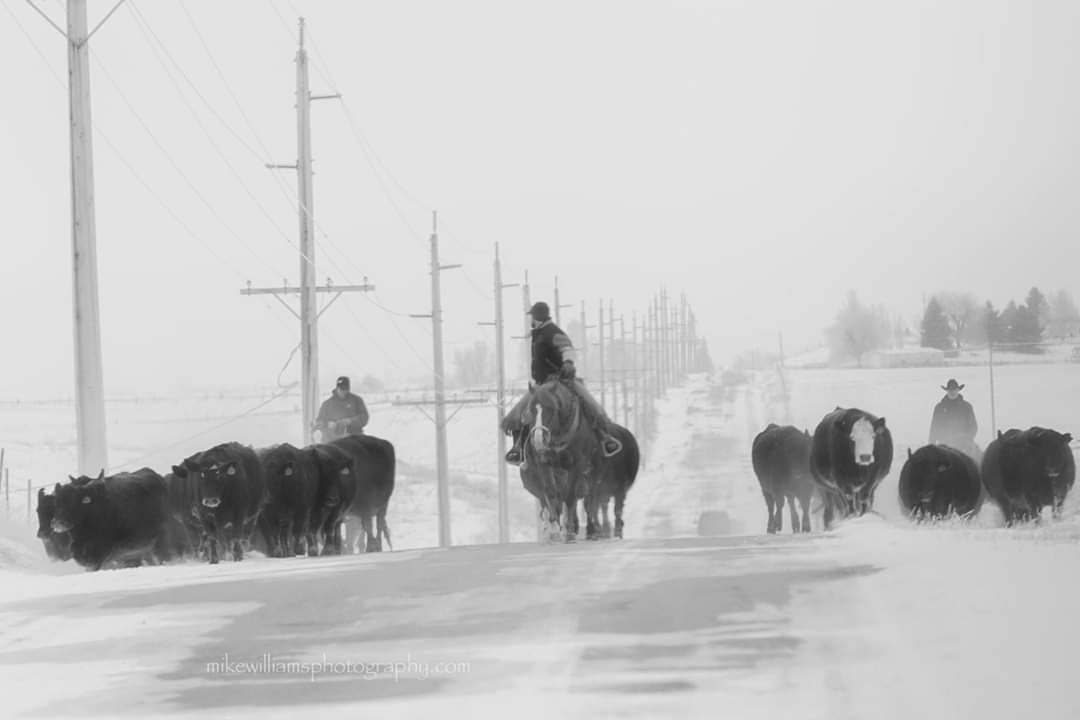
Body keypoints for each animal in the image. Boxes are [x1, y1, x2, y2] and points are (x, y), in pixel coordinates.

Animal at [520, 379, 600, 542]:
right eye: (530, 409)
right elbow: (551, 493)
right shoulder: (543, 463)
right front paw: (554, 530)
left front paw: (569, 531)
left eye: (551, 409)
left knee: (585, 499)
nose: (538, 439)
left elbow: (570, 496)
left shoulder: (576, 465)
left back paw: (589, 530)